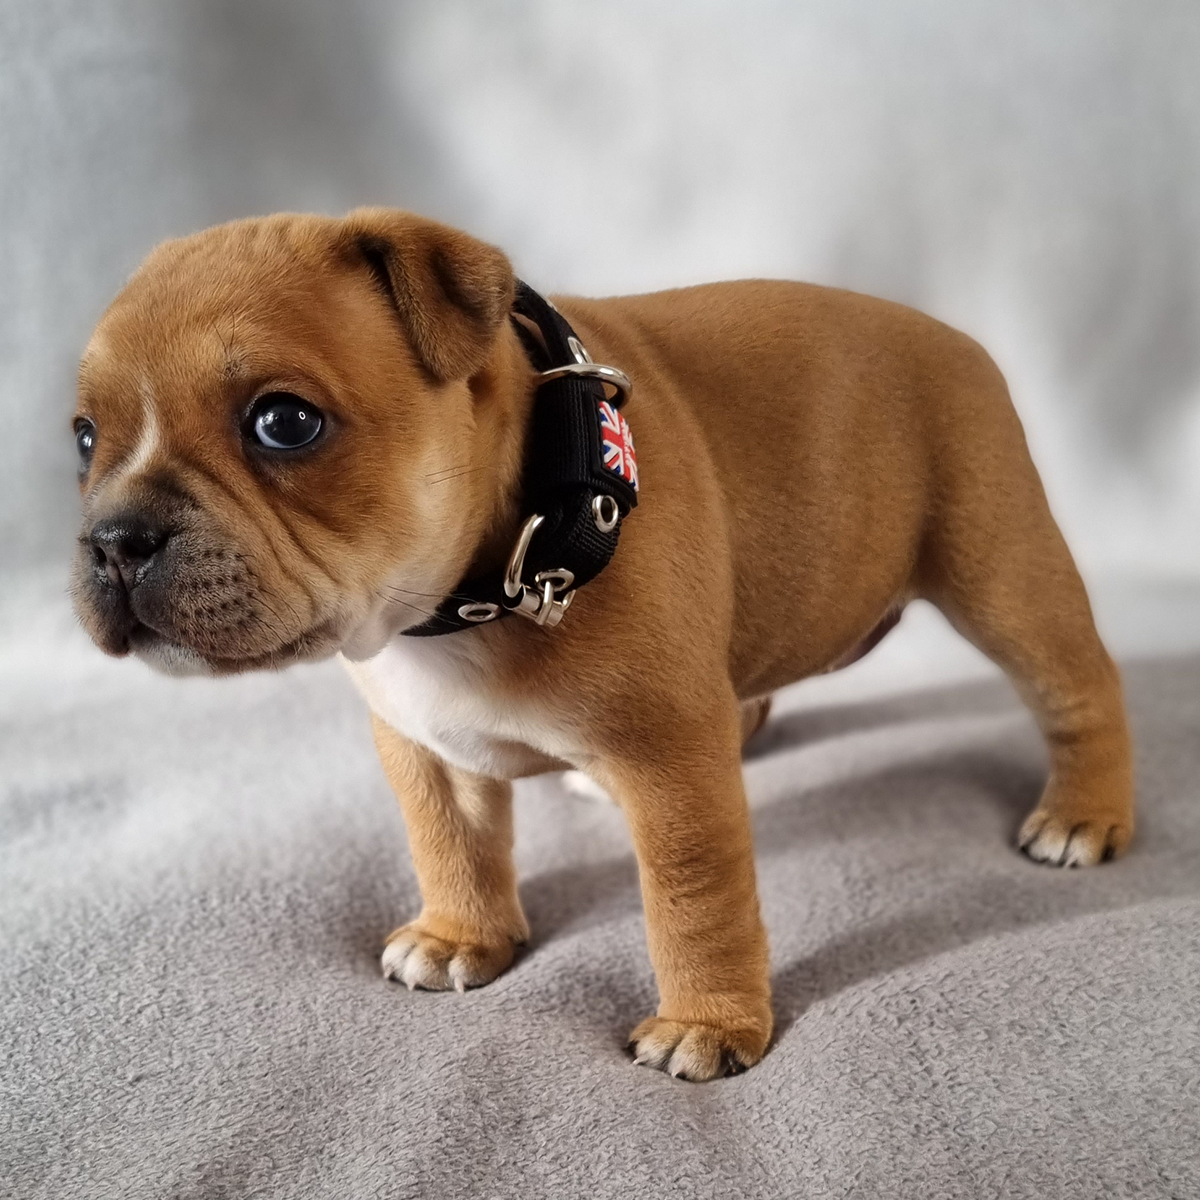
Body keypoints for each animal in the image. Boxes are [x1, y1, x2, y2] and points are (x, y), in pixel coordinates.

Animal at [72, 211, 1132, 1084]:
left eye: (285, 422)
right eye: (83, 437)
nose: (115, 538)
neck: (480, 588)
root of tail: (954, 335)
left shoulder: (671, 761)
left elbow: (695, 895)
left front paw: (708, 1024)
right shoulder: (422, 742)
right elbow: (449, 841)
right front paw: (461, 936)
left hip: (1001, 568)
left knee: (1078, 685)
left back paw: (1083, 814)